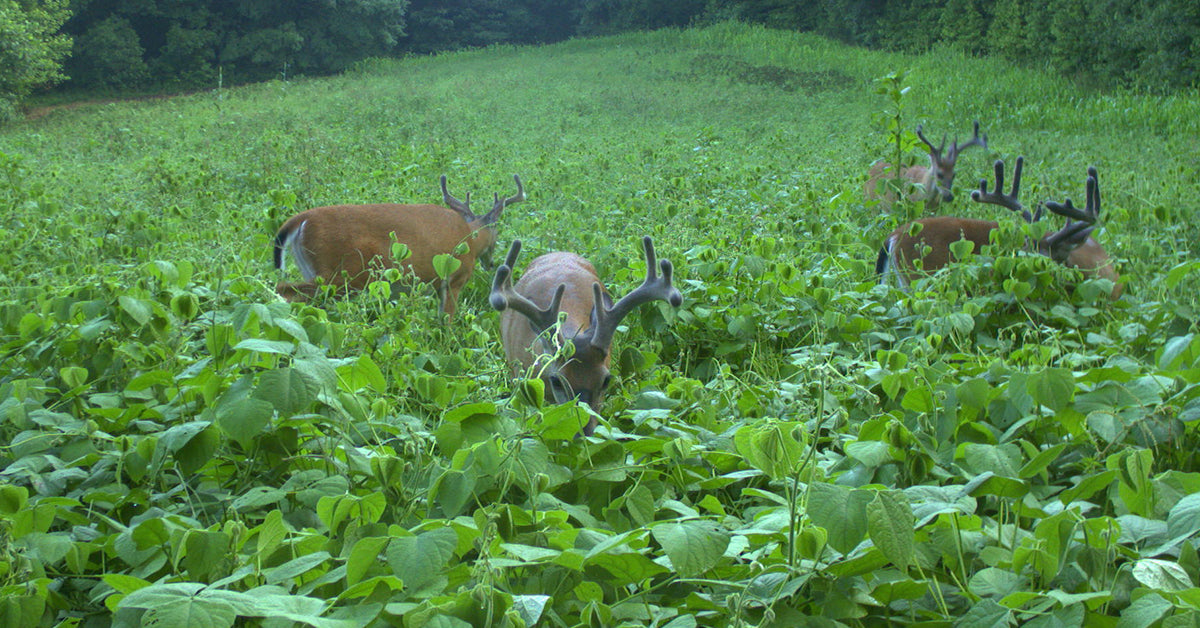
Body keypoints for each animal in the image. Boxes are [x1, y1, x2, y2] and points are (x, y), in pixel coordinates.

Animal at [273, 174, 524, 316]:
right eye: (498, 234)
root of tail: (300, 220)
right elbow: (447, 320)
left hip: (317, 272)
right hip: (336, 274)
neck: (470, 237)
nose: (490, 263)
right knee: (285, 289)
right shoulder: (454, 279)